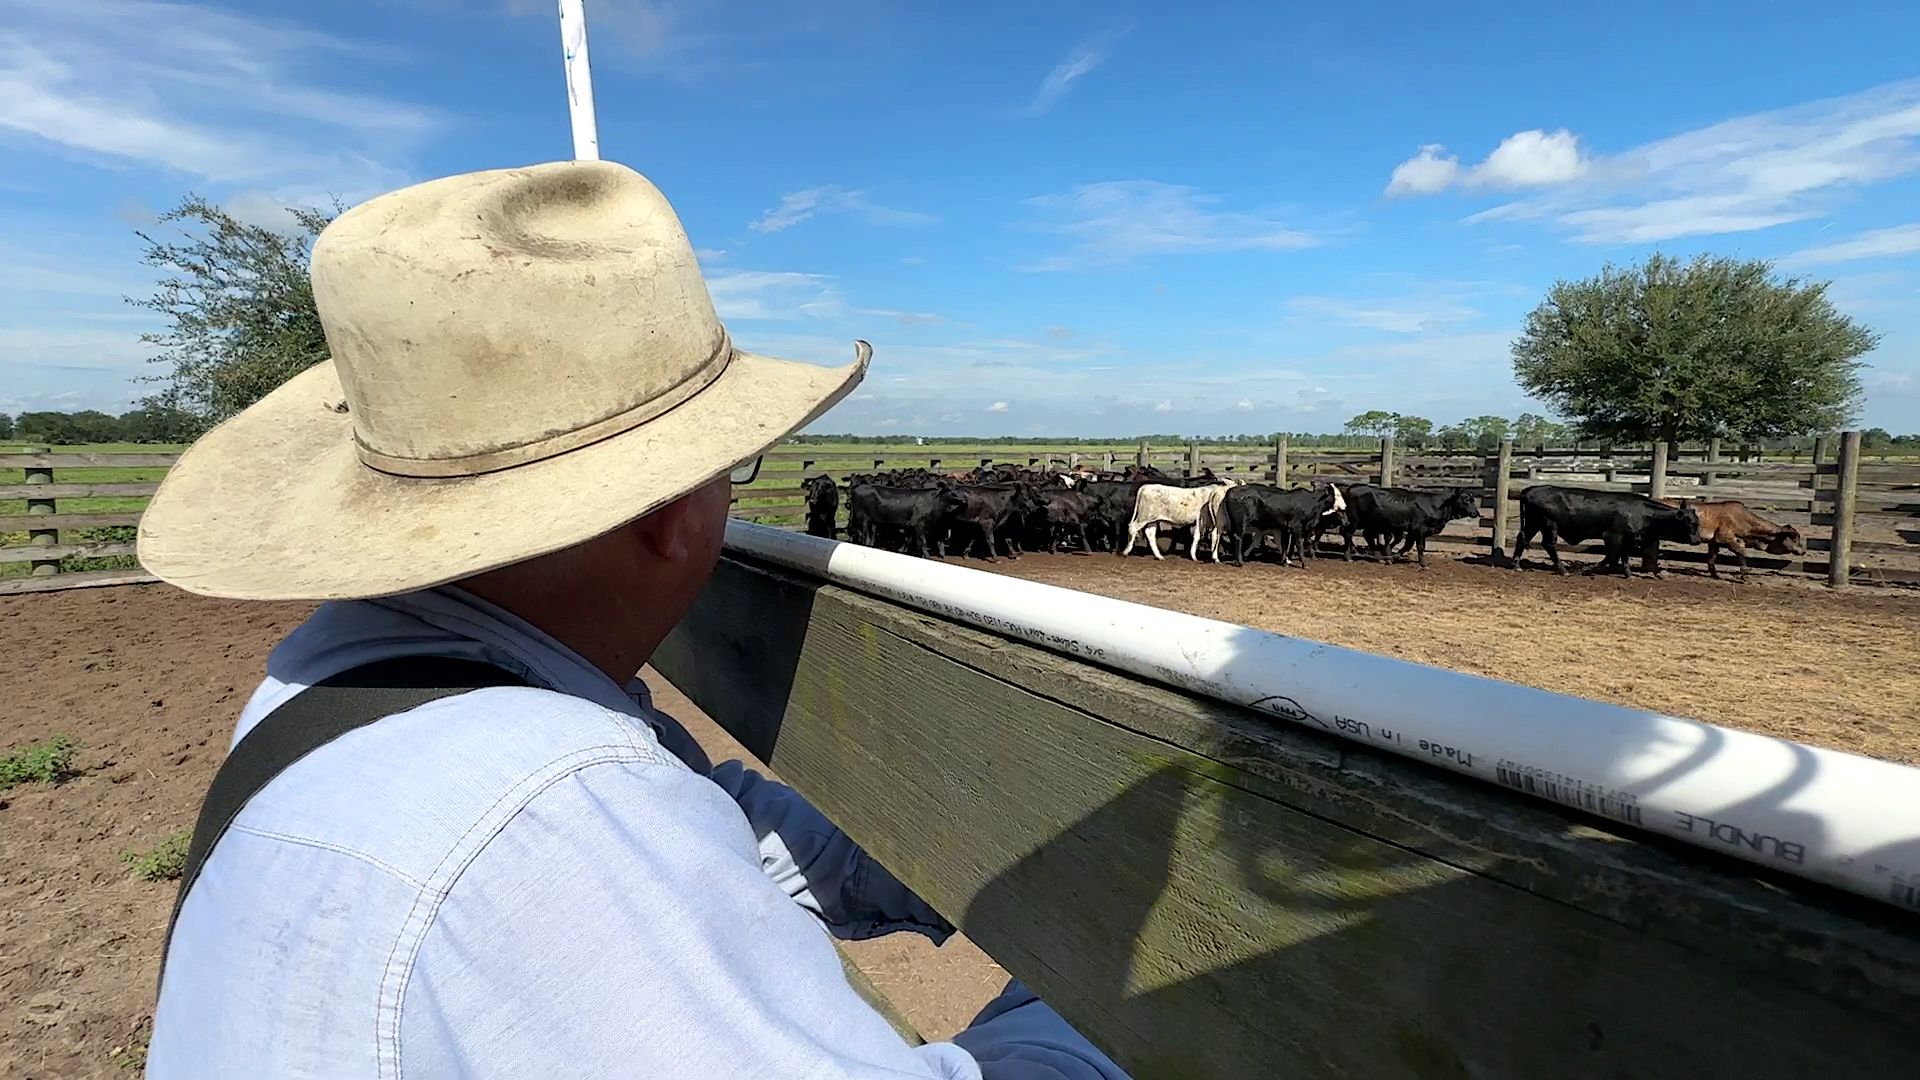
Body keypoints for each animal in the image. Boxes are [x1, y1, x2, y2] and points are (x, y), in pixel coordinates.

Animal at [1336, 478, 1482, 564]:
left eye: (1472, 499)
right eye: (1465, 499)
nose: (1476, 513)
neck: (1436, 504)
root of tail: (1352, 487)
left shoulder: (1412, 530)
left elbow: (1407, 545)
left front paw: (1393, 557)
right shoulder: (1420, 529)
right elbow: (1420, 546)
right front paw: (1423, 564)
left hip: (1370, 524)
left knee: (1365, 536)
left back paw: (1376, 556)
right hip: (1355, 520)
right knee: (1347, 533)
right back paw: (1348, 556)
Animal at [1505, 484, 1704, 576]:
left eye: (1697, 522)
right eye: (1691, 523)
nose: (1697, 540)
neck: (1640, 512)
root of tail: (1531, 489)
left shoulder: (1626, 539)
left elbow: (1624, 556)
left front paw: (1628, 573)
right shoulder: (1612, 537)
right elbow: (1611, 556)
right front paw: (1590, 569)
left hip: (1533, 524)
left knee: (1522, 538)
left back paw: (1516, 565)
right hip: (1548, 525)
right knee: (1548, 545)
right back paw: (1562, 569)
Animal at [1658, 499, 1804, 580]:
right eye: (1795, 537)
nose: (1803, 551)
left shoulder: (1713, 542)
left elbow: (1712, 558)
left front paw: (1715, 575)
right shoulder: (1725, 538)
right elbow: (1741, 552)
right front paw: (1744, 575)